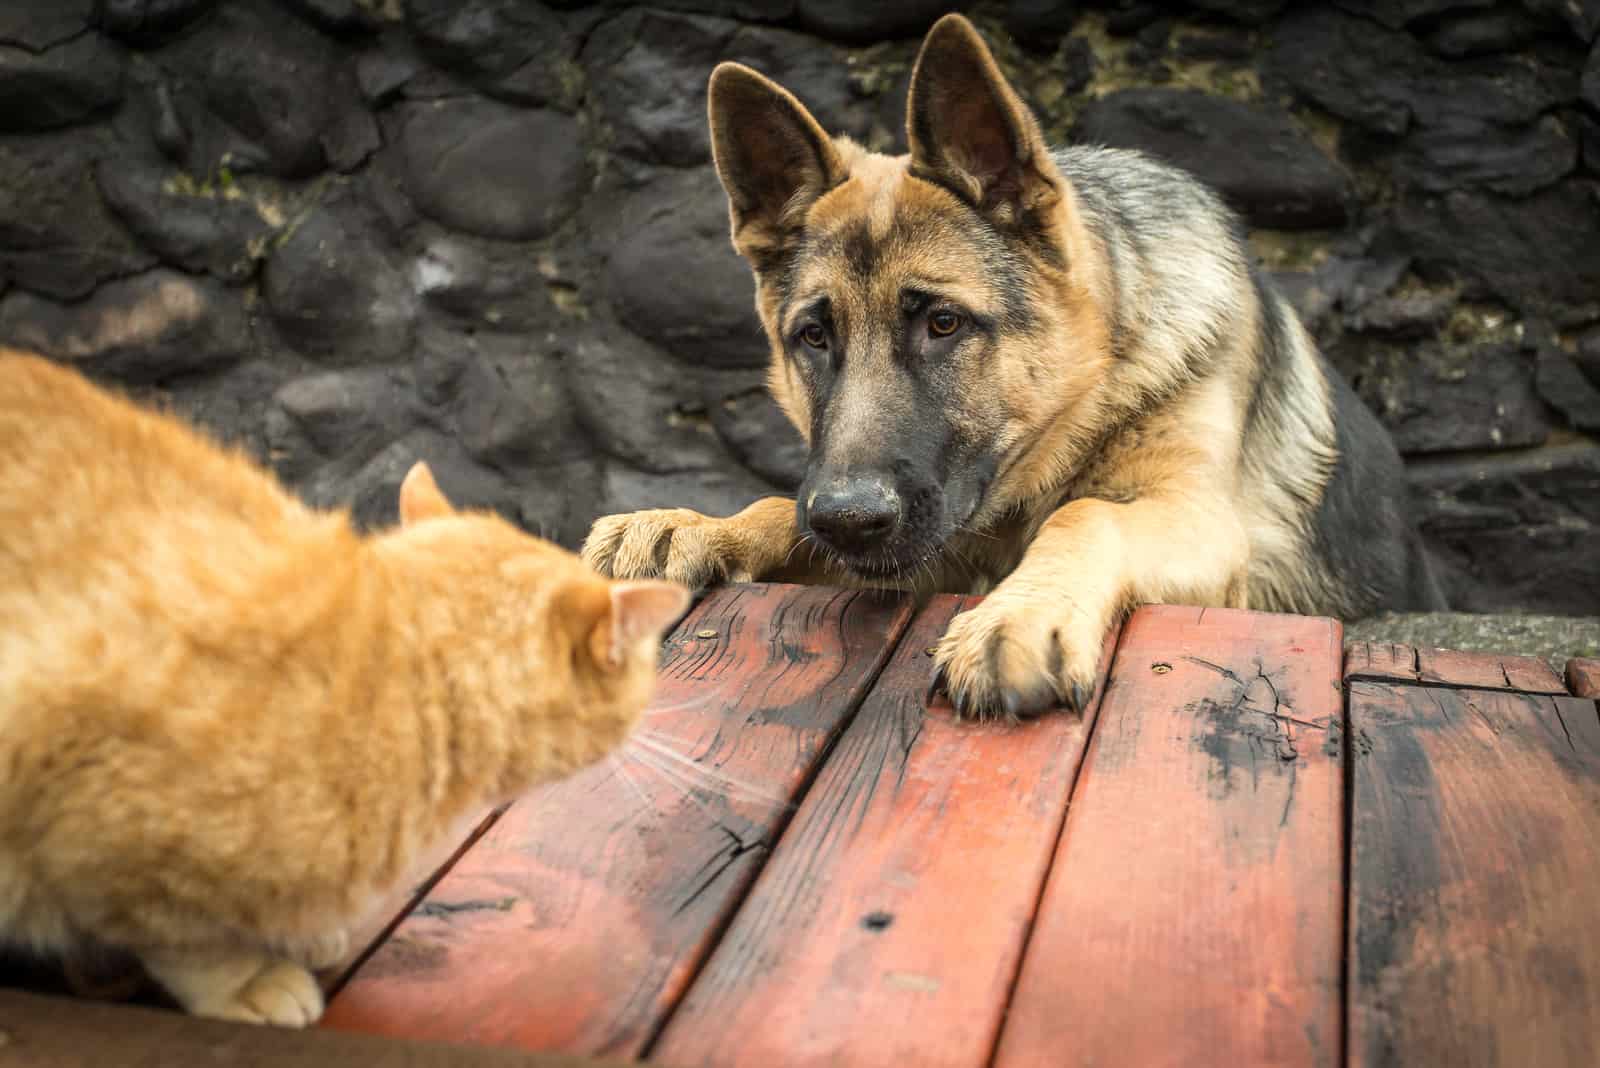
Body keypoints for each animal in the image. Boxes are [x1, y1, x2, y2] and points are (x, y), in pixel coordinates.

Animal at [582, 14, 1446, 716]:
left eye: (943, 323)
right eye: (814, 337)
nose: (850, 521)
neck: (1097, 384)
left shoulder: (1201, 522)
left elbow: (1086, 513)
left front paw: (1020, 613)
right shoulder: (929, 539)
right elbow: (781, 512)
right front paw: (694, 526)